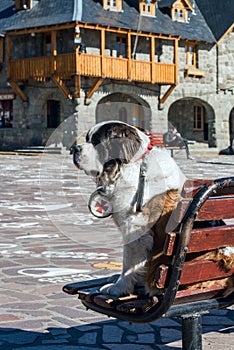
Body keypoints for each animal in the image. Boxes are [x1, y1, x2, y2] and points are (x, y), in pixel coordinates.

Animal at [72, 121, 233, 298]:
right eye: (87, 138)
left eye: (96, 141)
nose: (74, 148)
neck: (131, 166)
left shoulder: (134, 228)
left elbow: (129, 263)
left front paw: (119, 288)